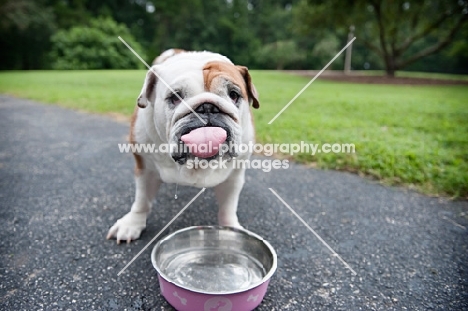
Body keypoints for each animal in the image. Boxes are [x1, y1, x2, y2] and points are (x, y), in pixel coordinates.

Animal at [107, 50, 260, 244]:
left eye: (234, 95)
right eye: (175, 97)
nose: (207, 107)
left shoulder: (234, 176)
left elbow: (228, 206)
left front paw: (230, 229)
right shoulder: (144, 168)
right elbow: (142, 200)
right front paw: (131, 224)